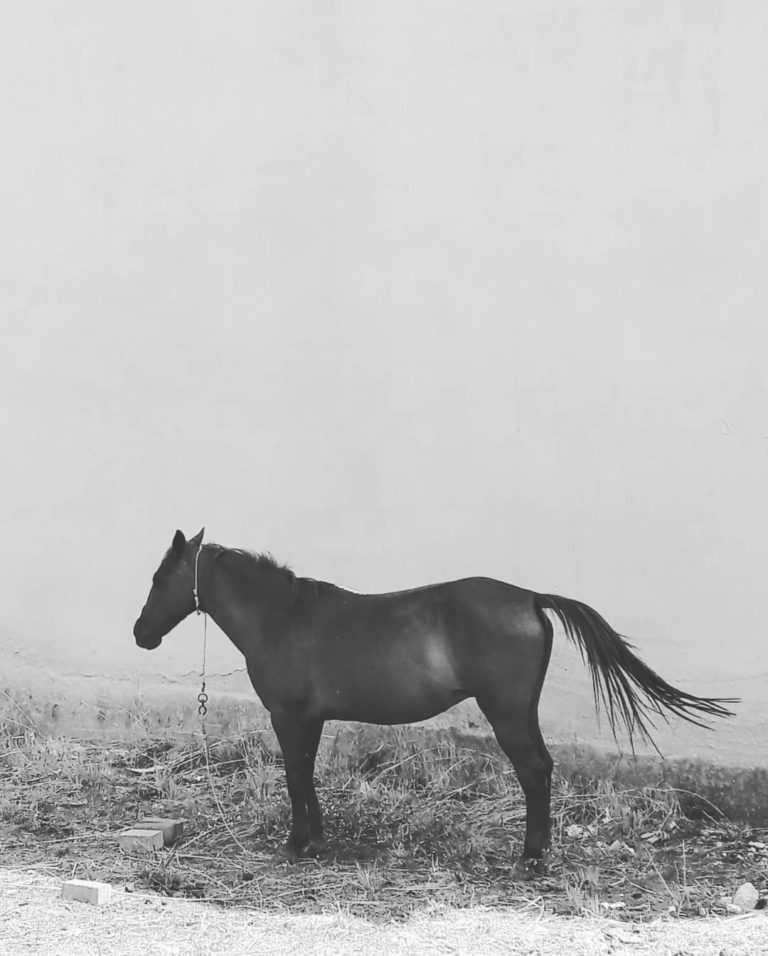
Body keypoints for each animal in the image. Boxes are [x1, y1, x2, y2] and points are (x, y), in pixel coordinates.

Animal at [133, 528, 737, 880]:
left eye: (161, 576)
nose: (141, 634)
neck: (284, 618)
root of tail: (529, 598)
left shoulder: (289, 717)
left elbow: (295, 776)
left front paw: (297, 844)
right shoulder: (309, 720)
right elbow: (306, 774)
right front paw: (317, 841)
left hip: (506, 712)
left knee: (533, 770)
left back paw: (529, 859)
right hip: (522, 711)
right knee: (542, 768)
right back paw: (536, 852)